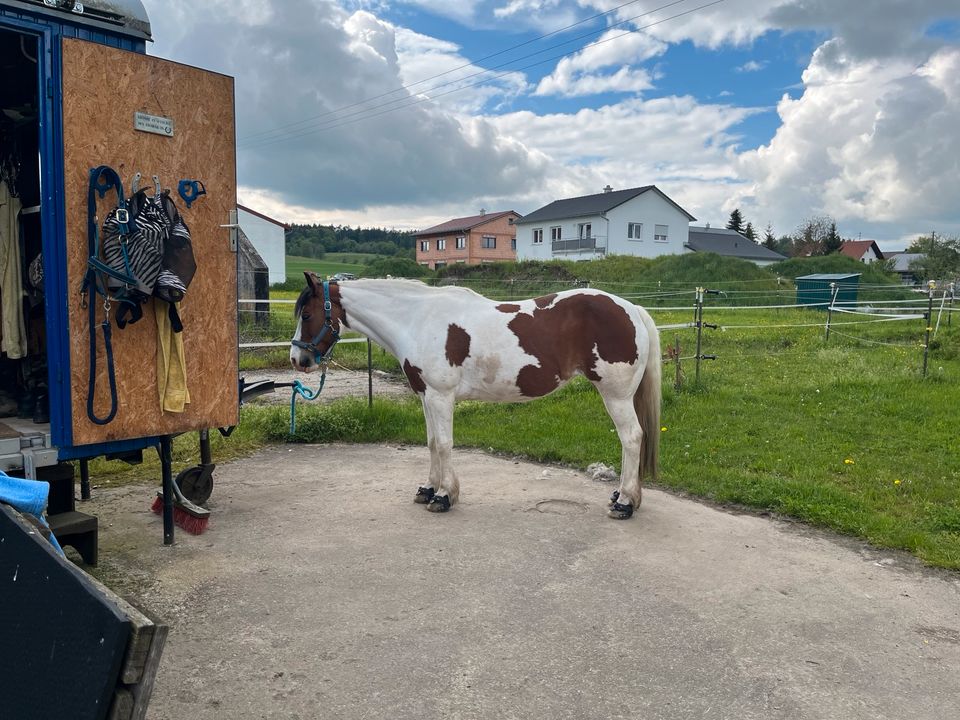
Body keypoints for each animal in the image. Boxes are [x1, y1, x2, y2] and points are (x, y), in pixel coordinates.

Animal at [292, 272, 660, 516]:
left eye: (307, 314)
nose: (298, 360)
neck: (416, 320)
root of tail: (633, 308)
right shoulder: (426, 396)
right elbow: (430, 443)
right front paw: (428, 489)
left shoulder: (440, 396)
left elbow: (444, 444)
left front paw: (444, 496)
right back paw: (621, 495)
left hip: (615, 395)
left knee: (631, 437)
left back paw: (625, 503)